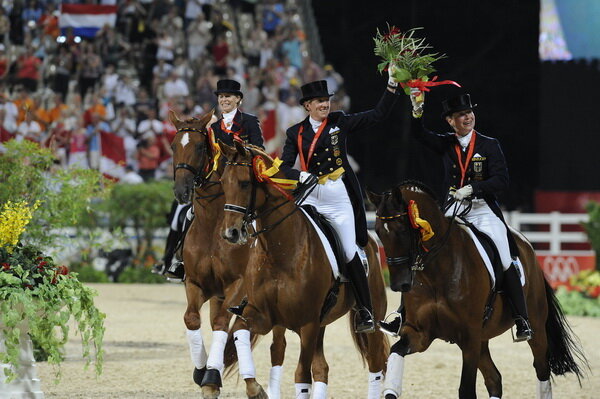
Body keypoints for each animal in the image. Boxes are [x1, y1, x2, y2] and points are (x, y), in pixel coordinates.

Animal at [169, 111, 286, 399]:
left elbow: (223, 324)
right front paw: (203, 372)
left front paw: (211, 376)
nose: (181, 191)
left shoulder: (239, 285)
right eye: (173, 146)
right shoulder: (196, 283)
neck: (213, 224)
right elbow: (192, 319)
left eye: (200, 147)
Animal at [218, 141, 392, 399]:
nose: (230, 233)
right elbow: (240, 331)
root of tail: (368, 241)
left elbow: (301, 375)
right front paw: (256, 389)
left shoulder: (308, 324)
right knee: (322, 367)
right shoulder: (263, 315)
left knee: (375, 362)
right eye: (222, 182)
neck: (280, 250)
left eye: (244, 183)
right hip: (319, 325)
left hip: (370, 319)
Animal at [366, 181, 584, 399]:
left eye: (402, 229)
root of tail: (526, 244)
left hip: (535, 329)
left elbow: (466, 389)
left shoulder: (469, 336)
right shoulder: (419, 333)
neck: (438, 269)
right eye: (378, 232)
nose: (399, 285)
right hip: (483, 338)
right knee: (494, 379)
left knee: (541, 370)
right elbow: (395, 360)